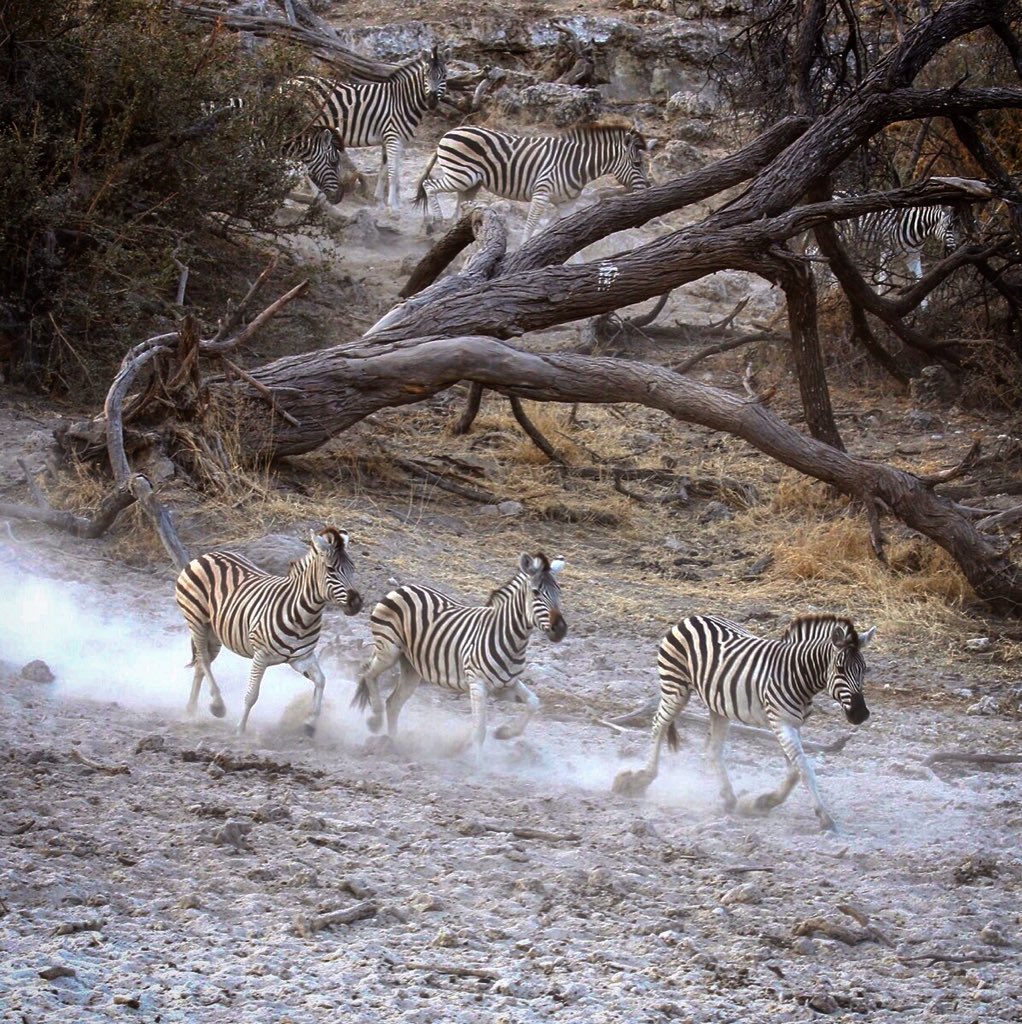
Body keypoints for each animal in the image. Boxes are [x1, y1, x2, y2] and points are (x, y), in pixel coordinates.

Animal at [174, 527, 363, 736]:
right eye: (331, 570)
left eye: (353, 568)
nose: (356, 604)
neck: (304, 615)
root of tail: (207, 555)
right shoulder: (261, 655)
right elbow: (252, 694)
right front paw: (240, 729)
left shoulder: (301, 657)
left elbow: (321, 681)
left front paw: (310, 723)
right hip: (196, 620)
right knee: (204, 661)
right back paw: (217, 705)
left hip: (214, 632)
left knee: (200, 664)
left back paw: (191, 710)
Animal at [288, 45, 448, 209]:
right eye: (426, 75)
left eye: (444, 76)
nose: (432, 101)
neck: (402, 101)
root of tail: (290, 81)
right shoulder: (392, 136)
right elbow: (393, 171)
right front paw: (393, 205)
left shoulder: (392, 139)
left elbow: (386, 169)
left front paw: (381, 201)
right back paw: (318, 196)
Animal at [352, 553, 567, 753]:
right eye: (536, 592)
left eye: (559, 592)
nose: (561, 629)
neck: (511, 639)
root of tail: (404, 588)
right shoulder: (478, 684)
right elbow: (479, 730)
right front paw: (477, 764)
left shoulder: (505, 685)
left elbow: (534, 702)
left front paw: (504, 733)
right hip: (389, 650)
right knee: (368, 673)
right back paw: (376, 721)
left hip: (411, 667)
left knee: (393, 703)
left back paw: (392, 744)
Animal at [414, 124, 655, 239]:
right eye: (637, 164)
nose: (646, 190)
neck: (576, 165)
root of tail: (451, 131)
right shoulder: (541, 194)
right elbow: (530, 226)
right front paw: (522, 247)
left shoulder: (566, 204)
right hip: (461, 176)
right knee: (429, 185)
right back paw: (434, 222)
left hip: (472, 183)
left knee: (459, 204)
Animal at [612, 614, 875, 830]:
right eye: (839, 668)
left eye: (864, 669)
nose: (861, 714)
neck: (797, 675)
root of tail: (691, 618)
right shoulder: (781, 722)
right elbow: (804, 768)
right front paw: (824, 817)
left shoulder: (791, 724)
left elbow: (794, 771)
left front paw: (762, 802)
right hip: (676, 688)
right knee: (658, 725)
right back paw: (638, 781)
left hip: (718, 704)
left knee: (713, 749)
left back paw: (729, 798)